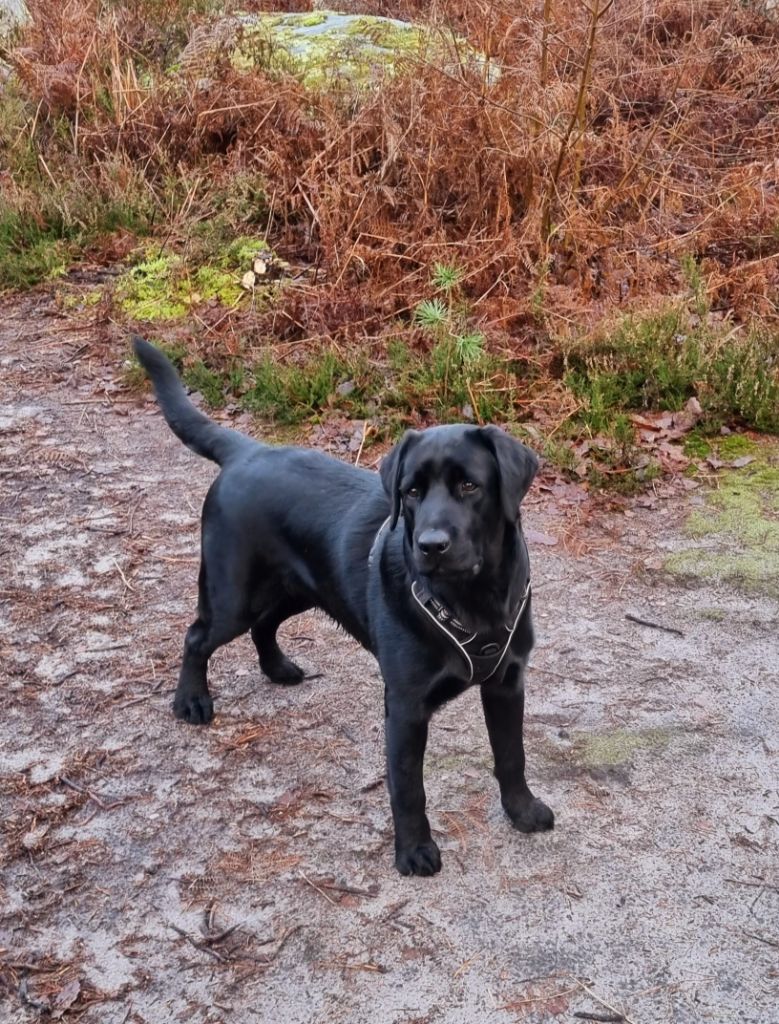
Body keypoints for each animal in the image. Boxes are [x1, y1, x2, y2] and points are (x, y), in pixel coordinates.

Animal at [134, 333, 552, 872]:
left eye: (469, 485)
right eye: (411, 491)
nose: (431, 545)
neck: (472, 599)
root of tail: (248, 450)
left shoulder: (507, 681)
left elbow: (511, 755)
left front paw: (522, 811)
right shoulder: (406, 706)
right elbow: (408, 788)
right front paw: (414, 850)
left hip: (298, 589)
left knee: (264, 625)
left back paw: (278, 668)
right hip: (232, 596)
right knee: (197, 636)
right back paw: (191, 699)